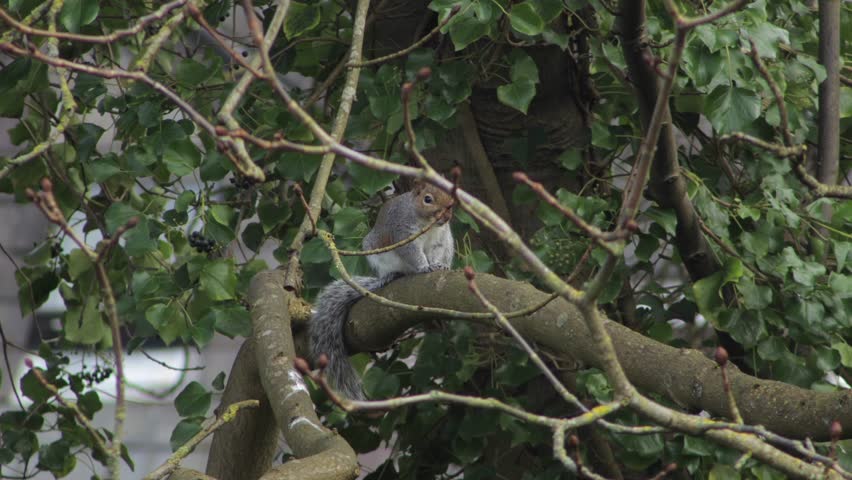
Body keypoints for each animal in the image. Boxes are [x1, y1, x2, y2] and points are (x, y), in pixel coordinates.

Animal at [309, 181, 455, 400]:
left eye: (451, 199)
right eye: (427, 199)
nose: (446, 216)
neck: (427, 224)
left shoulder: (440, 240)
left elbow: (436, 253)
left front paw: (438, 266)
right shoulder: (403, 233)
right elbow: (412, 253)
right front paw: (424, 267)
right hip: (376, 253)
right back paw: (391, 276)